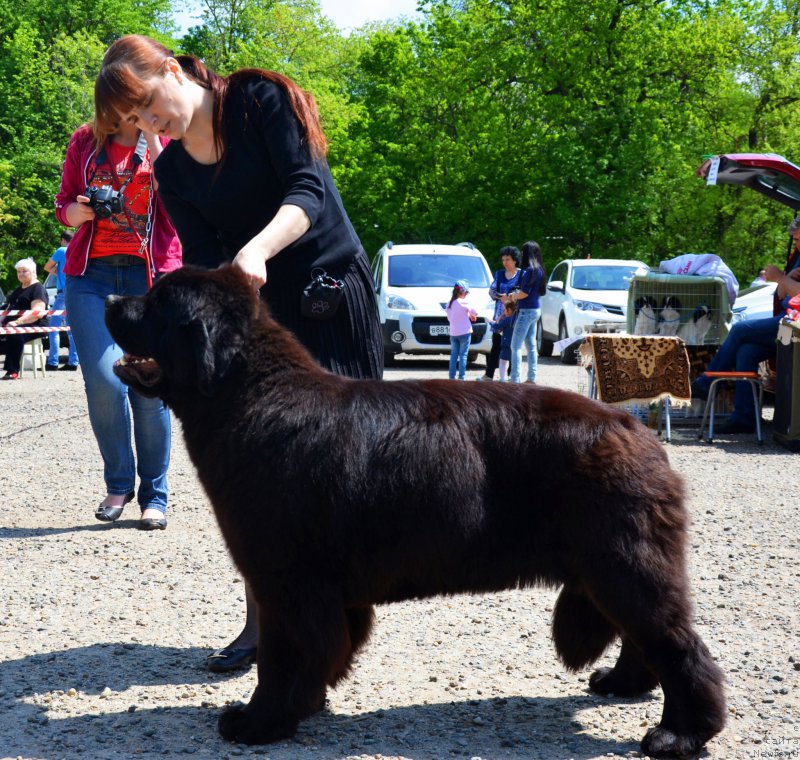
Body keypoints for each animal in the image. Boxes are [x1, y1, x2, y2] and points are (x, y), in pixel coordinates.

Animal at [104, 264, 724, 756]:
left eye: (156, 303)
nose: (109, 298)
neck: (252, 397)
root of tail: (636, 431)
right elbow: (324, 650)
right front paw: (305, 705)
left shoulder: (286, 582)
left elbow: (280, 658)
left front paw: (259, 722)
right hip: (609, 572)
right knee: (646, 638)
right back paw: (622, 685)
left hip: (622, 564)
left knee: (680, 647)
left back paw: (680, 735)